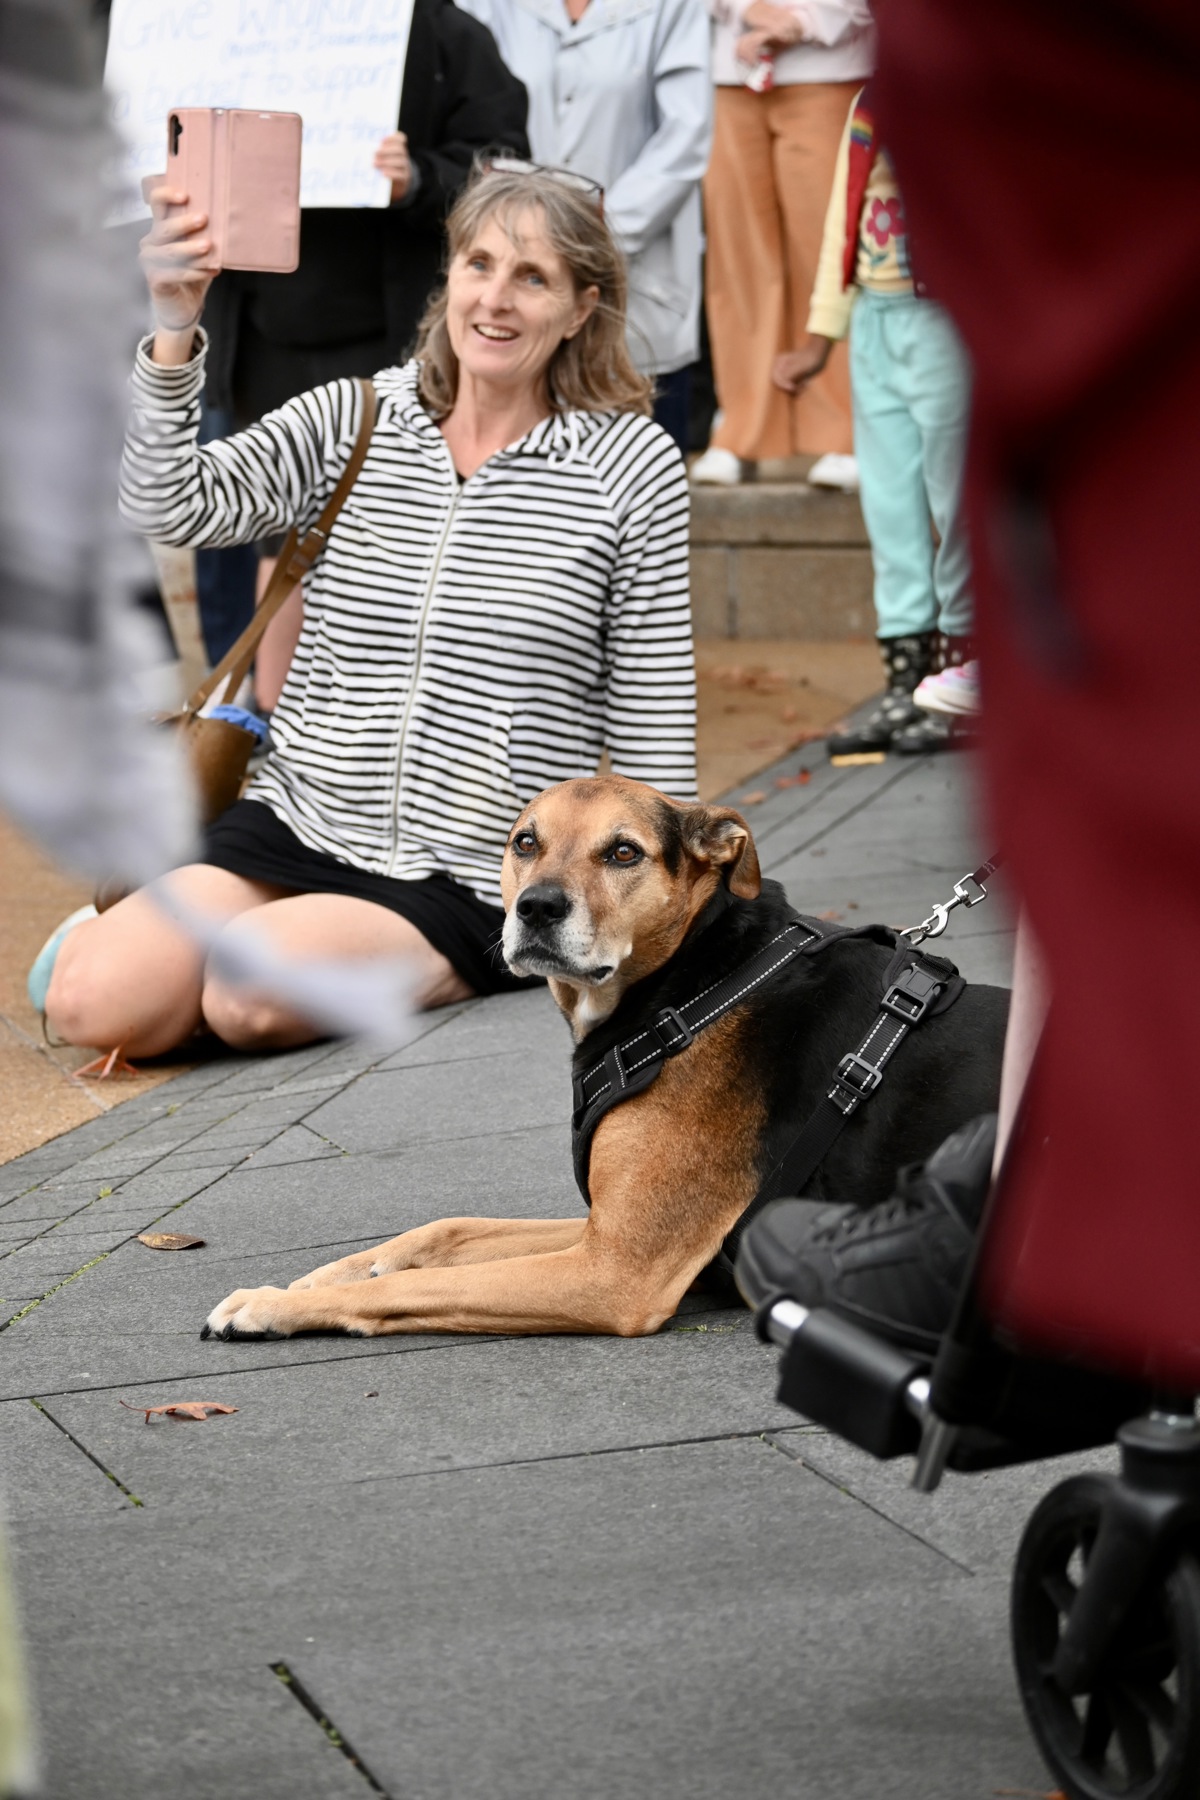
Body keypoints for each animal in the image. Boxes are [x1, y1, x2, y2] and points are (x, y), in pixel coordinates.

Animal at [201, 766, 1007, 1346]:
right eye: (524, 842)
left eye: (623, 853)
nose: (536, 908)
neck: (694, 980)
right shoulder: (606, 1228)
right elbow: (445, 1229)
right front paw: (320, 1276)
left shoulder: (615, 1269)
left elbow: (403, 1287)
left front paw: (276, 1305)